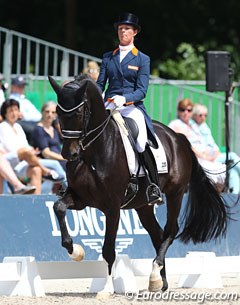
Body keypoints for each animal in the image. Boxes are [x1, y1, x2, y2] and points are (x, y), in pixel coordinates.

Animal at [48, 75, 229, 296]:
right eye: (58, 113)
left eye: (79, 112)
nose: (69, 154)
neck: (93, 152)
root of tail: (178, 138)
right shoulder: (80, 198)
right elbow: (58, 207)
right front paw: (76, 252)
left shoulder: (112, 207)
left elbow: (108, 249)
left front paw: (106, 289)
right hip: (143, 205)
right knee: (157, 234)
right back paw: (160, 281)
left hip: (175, 193)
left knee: (170, 230)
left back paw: (155, 273)